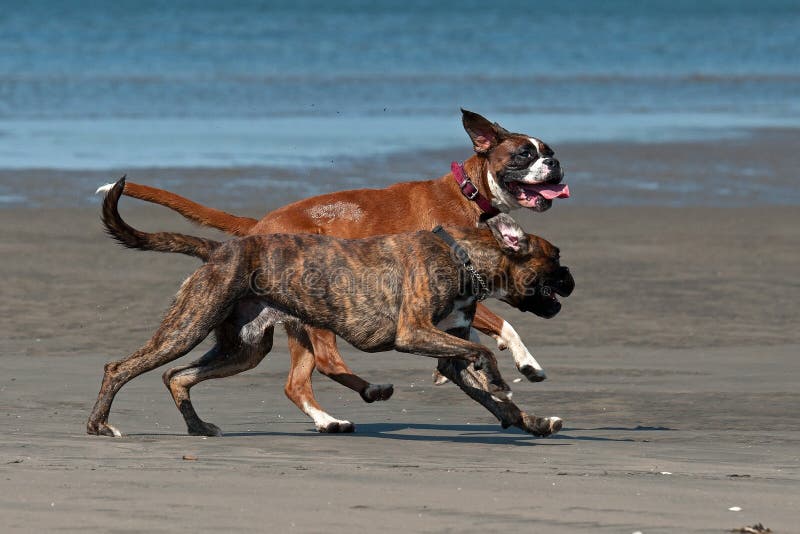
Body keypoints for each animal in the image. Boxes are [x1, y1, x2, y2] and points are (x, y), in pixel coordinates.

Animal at [98, 111, 568, 434]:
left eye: (547, 150)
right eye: (525, 154)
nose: (556, 163)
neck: (468, 194)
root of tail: (256, 226)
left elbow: (475, 353)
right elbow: (501, 328)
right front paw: (526, 365)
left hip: (259, 339)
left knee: (291, 380)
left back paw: (330, 416)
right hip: (294, 325)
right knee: (319, 366)